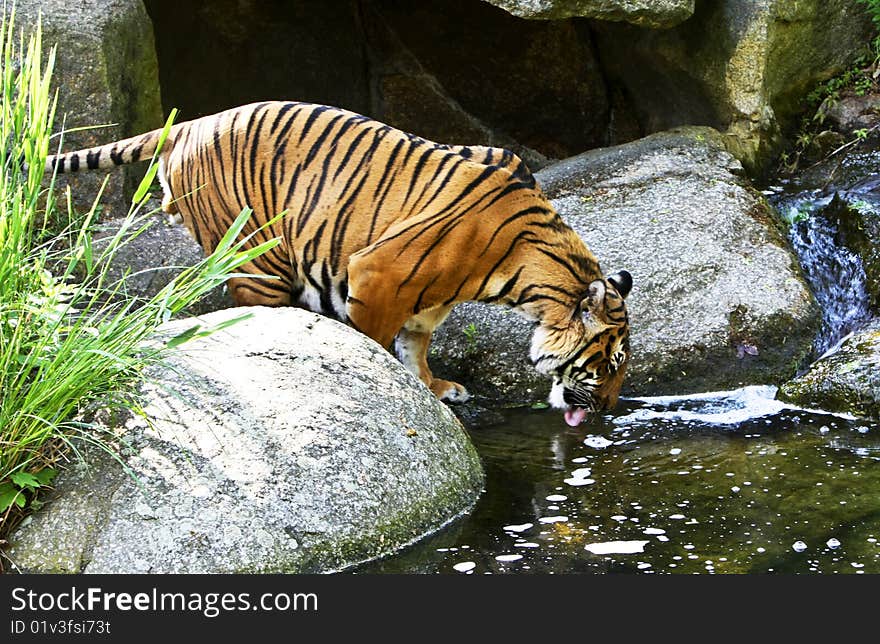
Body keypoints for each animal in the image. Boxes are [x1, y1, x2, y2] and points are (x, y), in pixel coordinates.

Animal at [44, 100, 628, 426]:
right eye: (608, 366)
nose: (607, 411)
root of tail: (190, 123)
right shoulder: (377, 275)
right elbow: (380, 343)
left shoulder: (426, 302)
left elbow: (415, 344)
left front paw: (435, 388)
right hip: (256, 253)